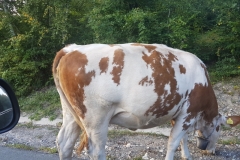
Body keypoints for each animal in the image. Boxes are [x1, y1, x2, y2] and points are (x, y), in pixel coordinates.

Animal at [52, 43, 240, 159]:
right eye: (219, 128)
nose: (210, 150)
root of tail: (72, 49)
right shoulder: (188, 113)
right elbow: (173, 142)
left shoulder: (178, 112)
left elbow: (183, 138)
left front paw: (186, 155)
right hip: (96, 117)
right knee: (96, 151)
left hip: (71, 112)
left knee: (64, 143)